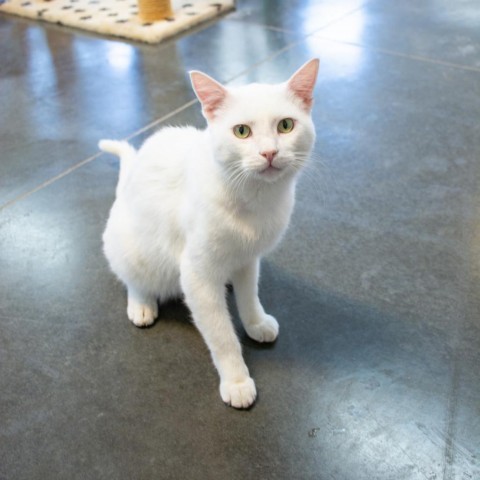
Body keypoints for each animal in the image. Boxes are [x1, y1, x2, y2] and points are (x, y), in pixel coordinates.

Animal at [99, 58, 318, 406]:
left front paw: (256, 322)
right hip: (131, 248)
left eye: (286, 126)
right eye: (242, 131)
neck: (255, 199)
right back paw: (142, 304)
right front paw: (237, 380)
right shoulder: (197, 276)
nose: (269, 153)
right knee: (132, 277)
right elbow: (221, 334)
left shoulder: (248, 260)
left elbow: (249, 296)